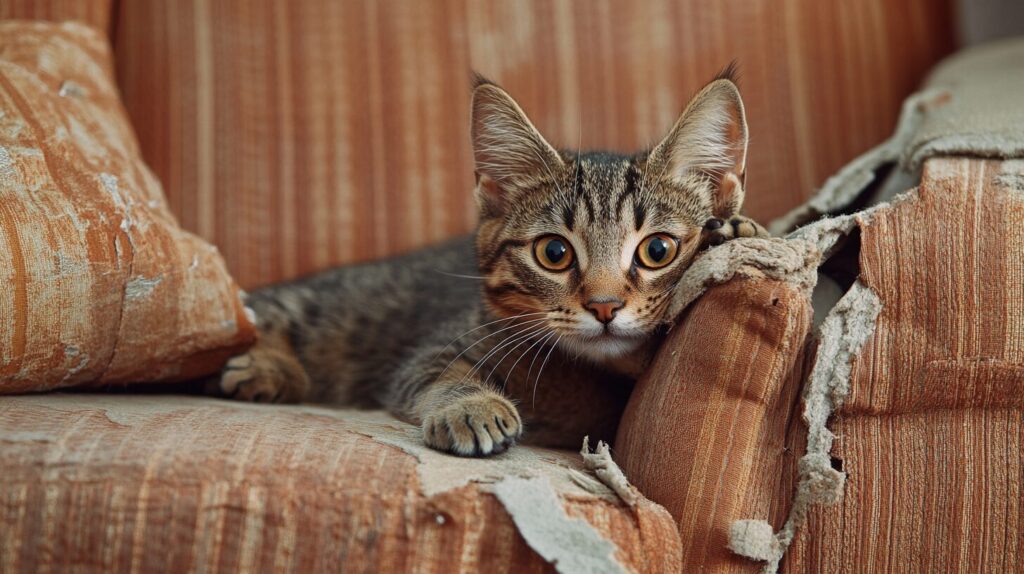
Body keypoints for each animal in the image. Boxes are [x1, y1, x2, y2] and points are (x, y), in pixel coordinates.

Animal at [214, 67, 770, 454]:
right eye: (554, 253)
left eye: (657, 250)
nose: (605, 306)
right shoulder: (434, 347)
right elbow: (440, 373)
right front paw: (472, 404)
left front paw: (741, 231)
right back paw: (263, 367)